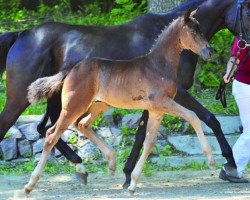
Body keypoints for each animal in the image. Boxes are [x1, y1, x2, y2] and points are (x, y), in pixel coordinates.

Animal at [24, 11, 213, 194]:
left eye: (201, 29)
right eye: (194, 31)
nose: (210, 52)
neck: (158, 66)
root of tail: (70, 69)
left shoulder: (156, 110)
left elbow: (149, 141)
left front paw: (133, 183)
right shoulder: (163, 102)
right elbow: (193, 116)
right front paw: (211, 162)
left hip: (98, 105)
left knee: (82, 124)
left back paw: (110, 162)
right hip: (73, 107)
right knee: (52, 134)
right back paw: (30, 185)